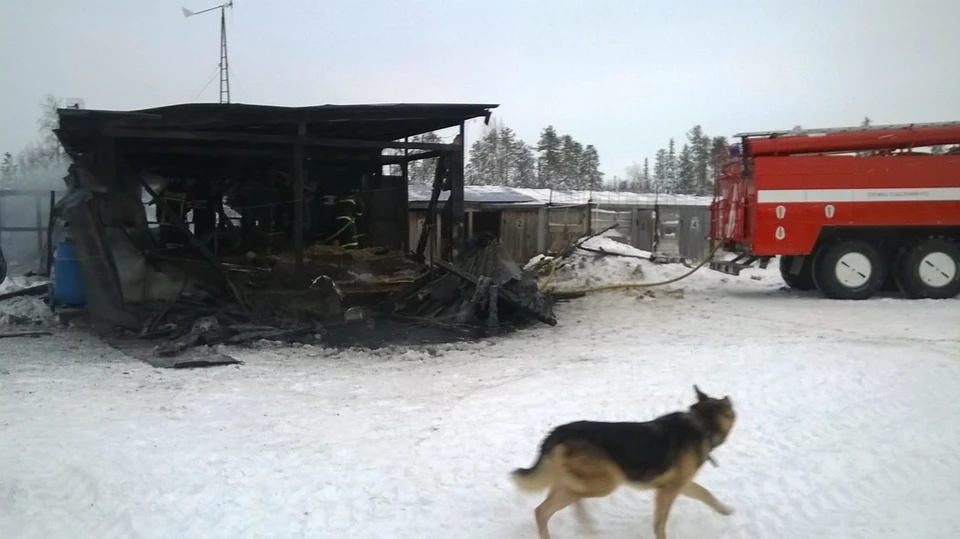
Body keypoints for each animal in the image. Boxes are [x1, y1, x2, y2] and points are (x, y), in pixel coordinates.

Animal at [512, 386, 740, 536]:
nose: (730, 400)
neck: (700, 425)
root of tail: (558, 432)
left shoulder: (678, 485)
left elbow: (706, 494)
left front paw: (725, 510)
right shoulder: (668, 490)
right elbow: (660, 523)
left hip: (579, 480)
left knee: (556, 505)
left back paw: (587, 526)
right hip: (606, 482)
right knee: (545, 510)